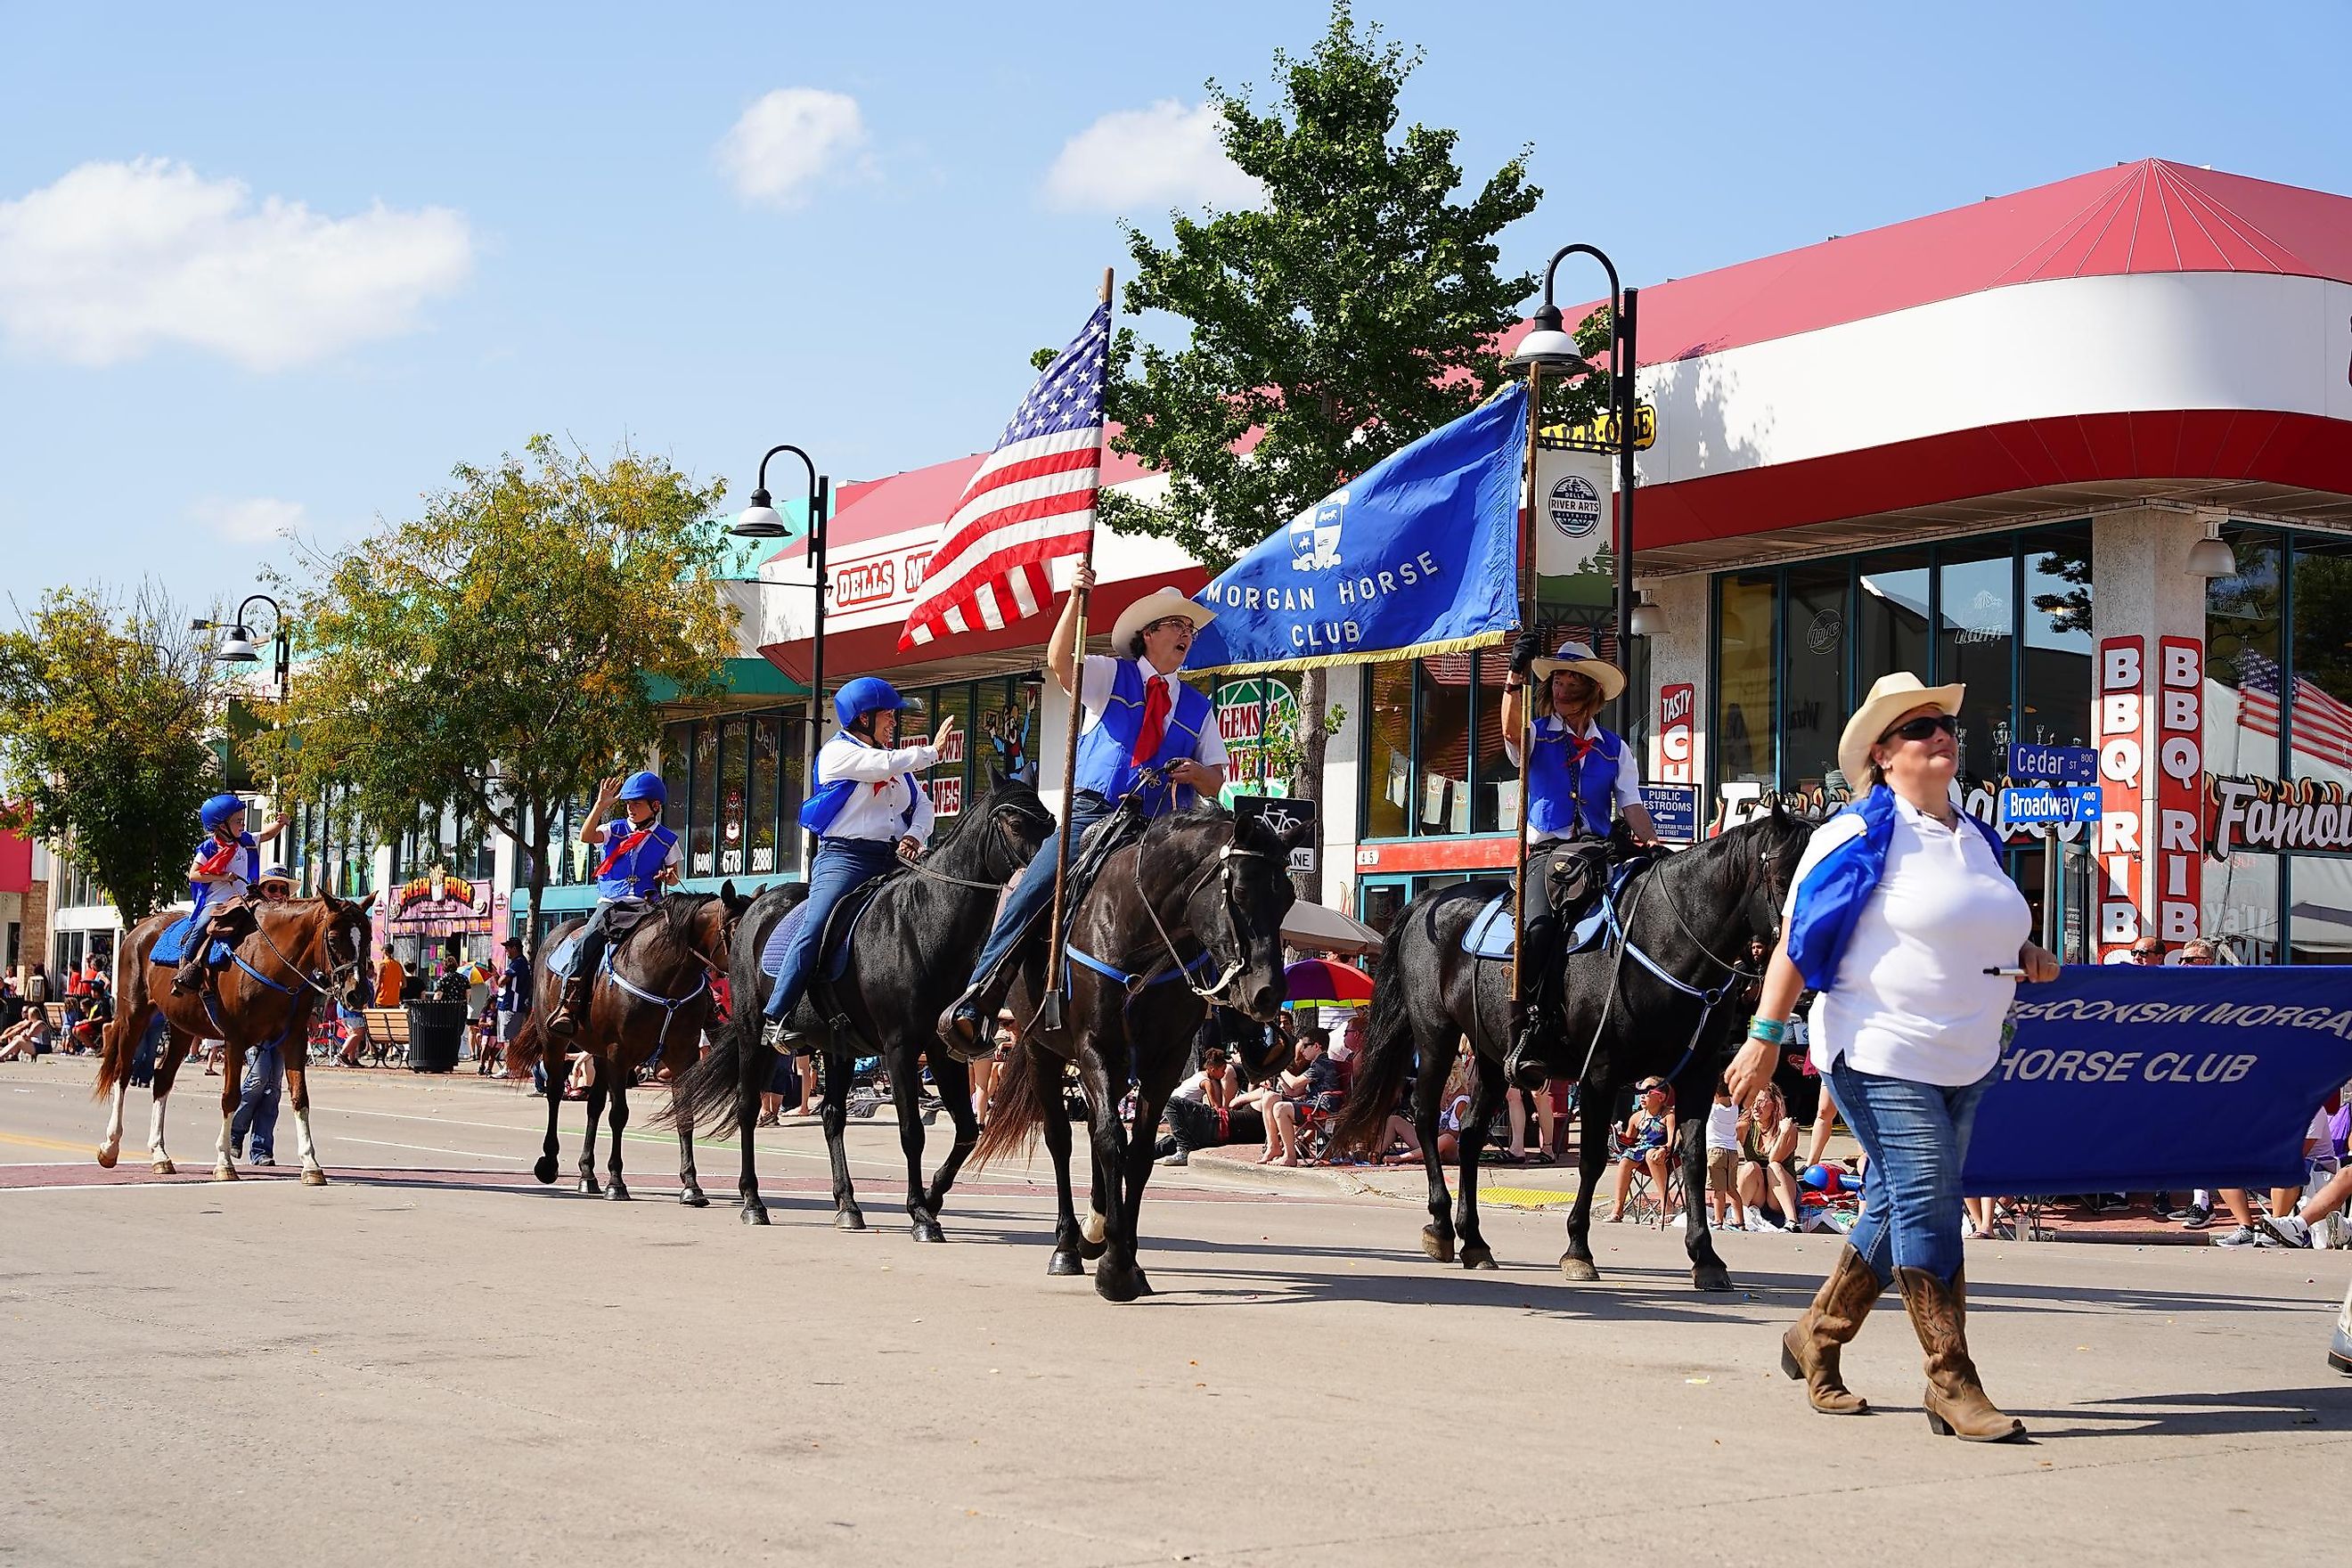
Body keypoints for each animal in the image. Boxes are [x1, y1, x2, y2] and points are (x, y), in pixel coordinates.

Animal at [95, 888, 372, 1184]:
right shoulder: (235, 1039)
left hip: (182, 1028)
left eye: (366, 937)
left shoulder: (294, 1039)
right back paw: (110, 1147)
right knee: (122, 1074)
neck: (272, 961)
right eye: (333, 939)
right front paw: (224, 1162)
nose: (358, 994)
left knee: (162, 1079)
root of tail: (141, 927)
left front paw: (311, 1164)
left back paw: (160, 1155)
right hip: (133, 1016)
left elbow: (300, 1098)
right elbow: (231, 1097)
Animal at [505, 888, 743, 1213]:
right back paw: (549, 1163)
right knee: (554, 1094)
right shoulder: (620, 1053)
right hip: (554, 1041)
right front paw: (616, 1182)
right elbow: (619, 1114)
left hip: (597, 1053)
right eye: (733, 929)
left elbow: (684, 1114)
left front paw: (691, 1186)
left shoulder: (682, 1056)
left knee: (593, 1106)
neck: (664, 977)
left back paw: (587, 1175)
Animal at [667, 771, 1063, 1241]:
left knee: (832, 1117)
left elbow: (968, 1130)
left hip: (838, 1047)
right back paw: (753, 1201)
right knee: (747, 1109)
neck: (923, 925)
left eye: (1050, 822)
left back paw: (848, 1205)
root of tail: (755, 907)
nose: (1050, 887)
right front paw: (921, 1214)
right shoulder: (900, 1047)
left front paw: (932, 1197)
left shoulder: (942, 1050)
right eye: (1016, 824)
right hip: (752, 1036)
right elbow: (912, 1131)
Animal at [973, 804, 1307, 1307]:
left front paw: (1124, 1256)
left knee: (1096, 1129)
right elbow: (1111, 1141)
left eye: (1286, 898)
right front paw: (1113, 1269)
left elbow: (1138, 1152)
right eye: (1241, 891)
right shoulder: (1093, 1047)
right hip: (1040, 1051)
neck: (1140, 932)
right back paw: (1068, 1245)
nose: (1267, 994)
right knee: (1062, 1138)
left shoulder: (1163, 1061)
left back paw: (1095, 1229)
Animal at [1335, 804, 1806, 1297]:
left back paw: (1475, 1241)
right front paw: (1578, 1250)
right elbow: (1594, 1159)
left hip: (1490, 1056)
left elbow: (1695, 1162)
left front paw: (1707, 1258)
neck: (1667, 939)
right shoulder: (1601, 1072)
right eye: (1782, 875)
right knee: (1427, 1119)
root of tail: (1427, 902)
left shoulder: (1698, 1075)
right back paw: (1442, 1227)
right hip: (1435, 1038)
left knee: (1468, 1134)